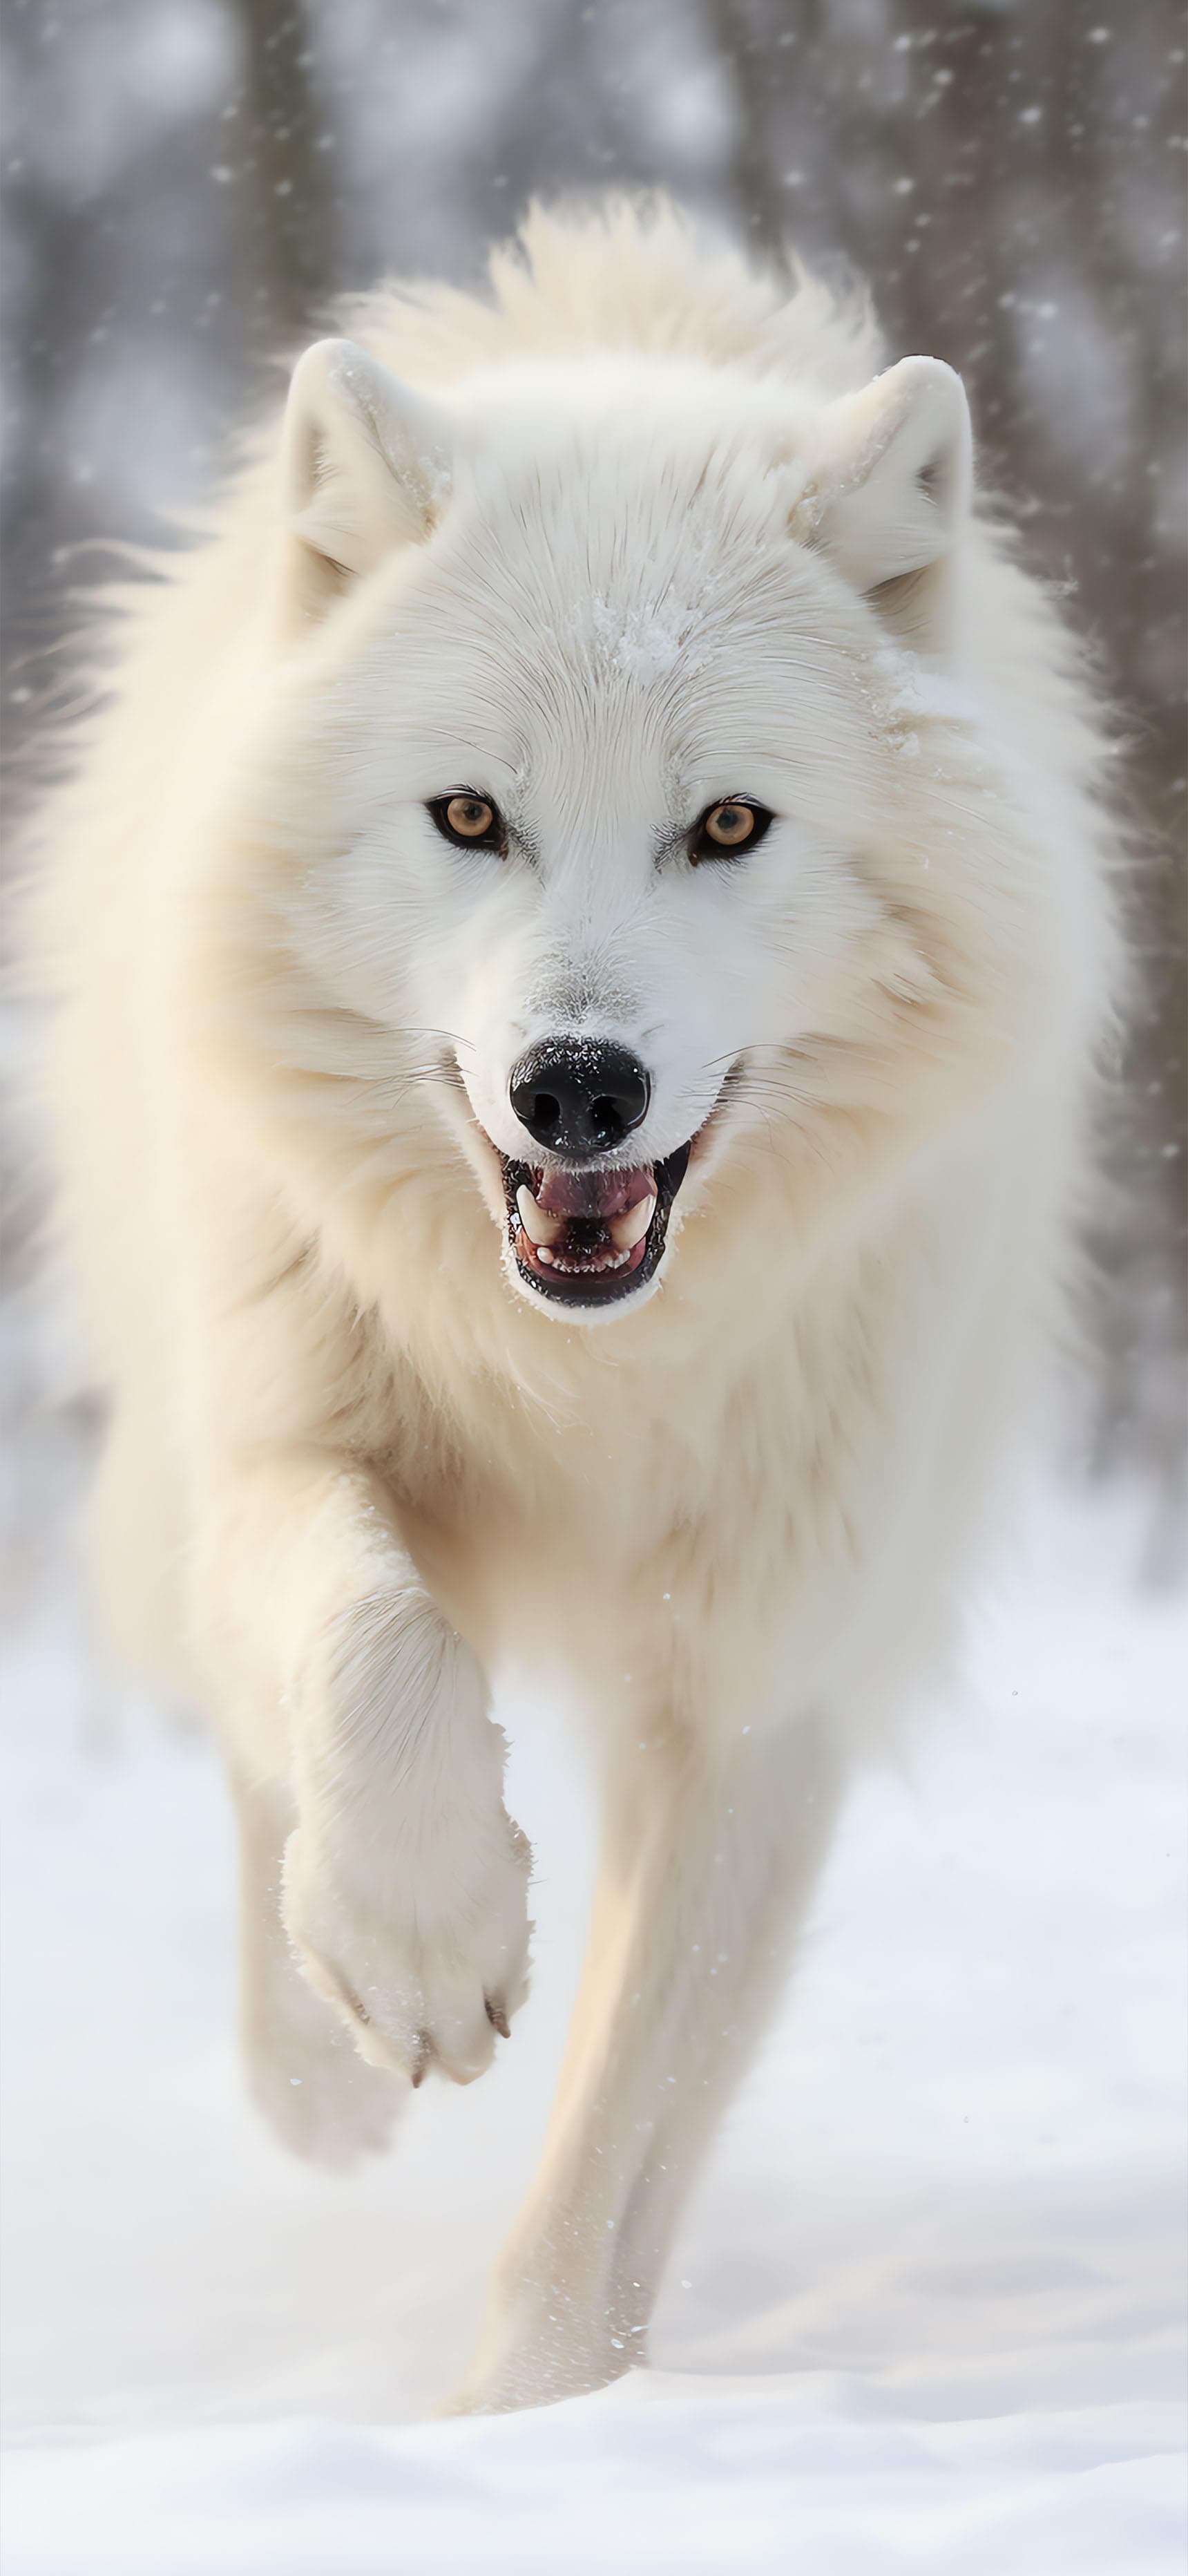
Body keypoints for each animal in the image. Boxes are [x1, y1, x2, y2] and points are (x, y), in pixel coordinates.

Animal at [31, 199, 1117, 2413]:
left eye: (727, 825)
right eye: (470, 815)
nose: (578, 1088)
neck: (585, 1379)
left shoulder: (757, 1687)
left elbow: (612, 2157)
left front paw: (521, 2428)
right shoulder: (289, 1438)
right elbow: (374, 1654)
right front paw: (419, 1957)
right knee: (257, 1737)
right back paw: (318, 2072)